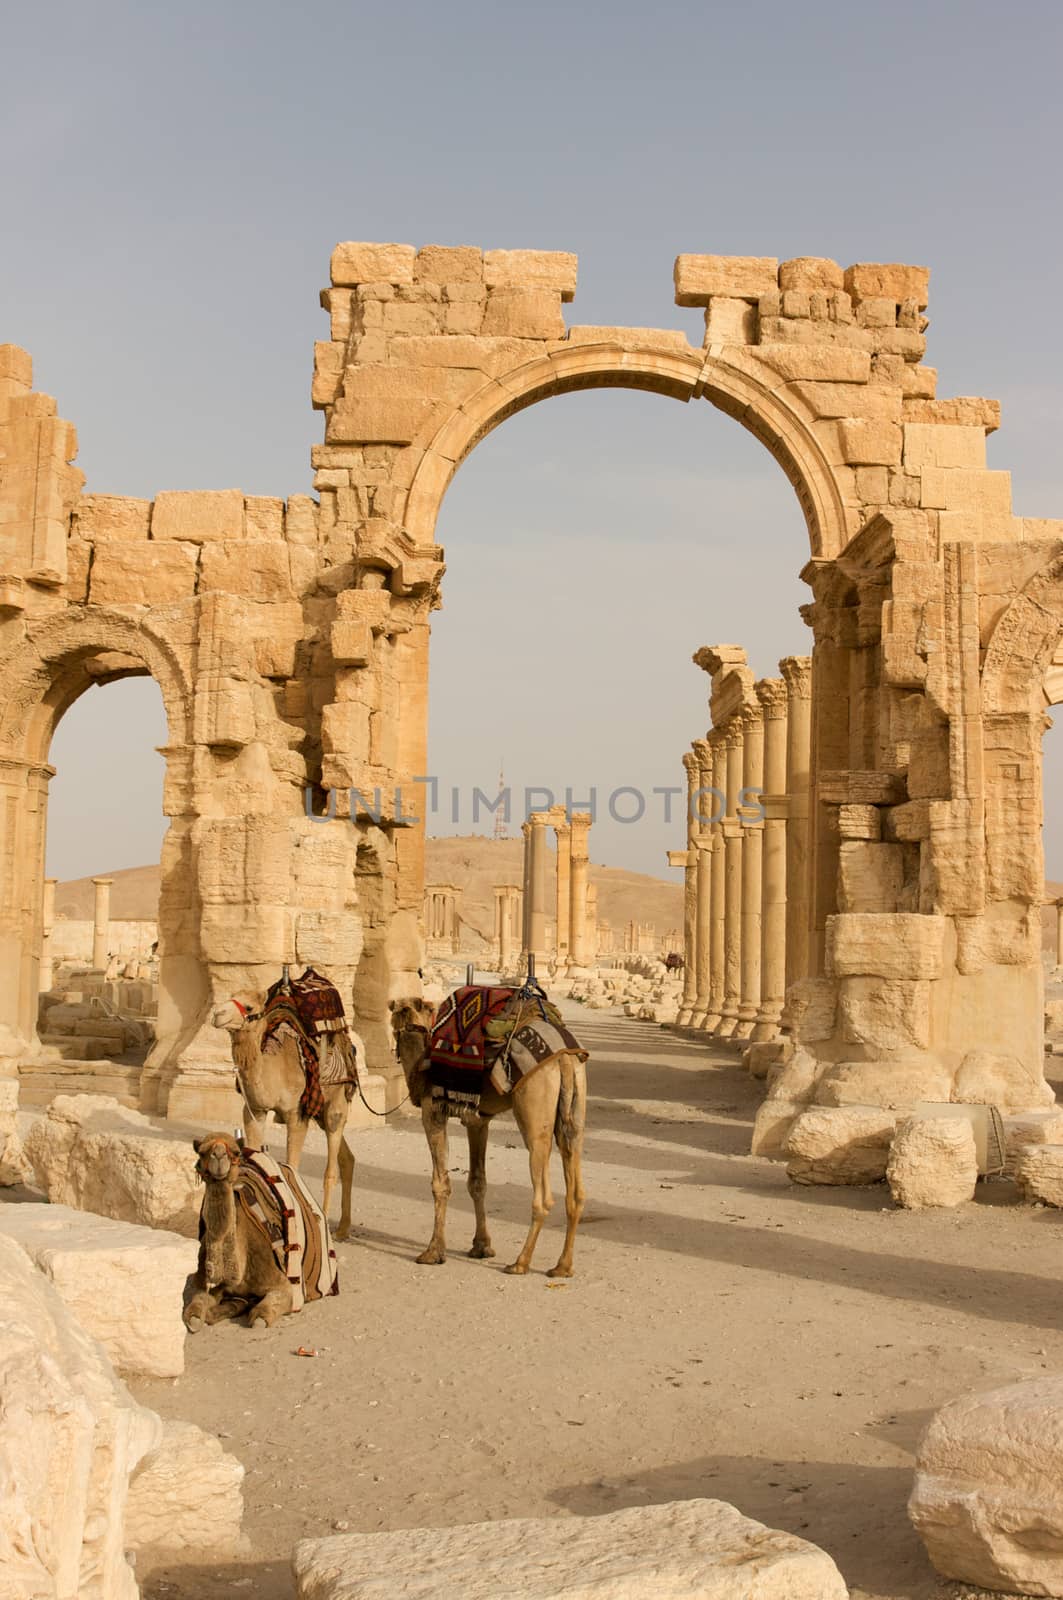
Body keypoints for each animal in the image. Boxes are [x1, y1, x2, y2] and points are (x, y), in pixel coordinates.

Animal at [181, 1132, 291, 1331]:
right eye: (201, 1152)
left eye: (236, 1152)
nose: (219, 1155)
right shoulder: (202, 1280)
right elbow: (195, 1310)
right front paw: (201, 1316)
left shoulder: (282, 1285)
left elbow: (261, 1318)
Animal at [209, 992, 363, 1241]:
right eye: (230, 996)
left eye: (249, 1007)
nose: (217, 1014)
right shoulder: (254, 1111)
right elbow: (252, 1162)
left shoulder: (296, 1115)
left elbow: (292, 1168)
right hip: (321, 1113)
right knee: (347, 1159)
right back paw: (342, 1229)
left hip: (335, 1105)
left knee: (331, 1169)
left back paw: (327, 1226)